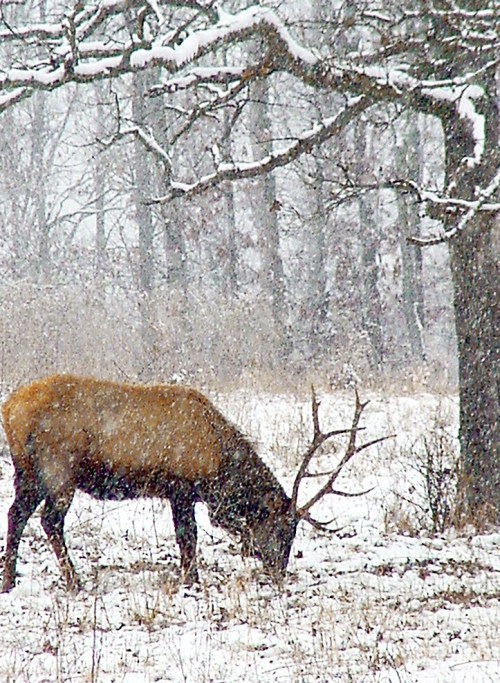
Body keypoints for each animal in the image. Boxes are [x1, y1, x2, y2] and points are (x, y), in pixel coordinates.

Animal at [1, 374, 388, 592]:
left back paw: (9, 581)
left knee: (15, 514)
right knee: (49, 521)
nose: (279, 571)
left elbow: (186, 537)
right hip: (58, 469)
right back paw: (74, 583)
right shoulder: (183, 485)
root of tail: (10, 410)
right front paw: (192, 581)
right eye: (283, 527)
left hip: (28, 472)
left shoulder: (178, 492)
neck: (218, 462)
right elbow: (189, 537)